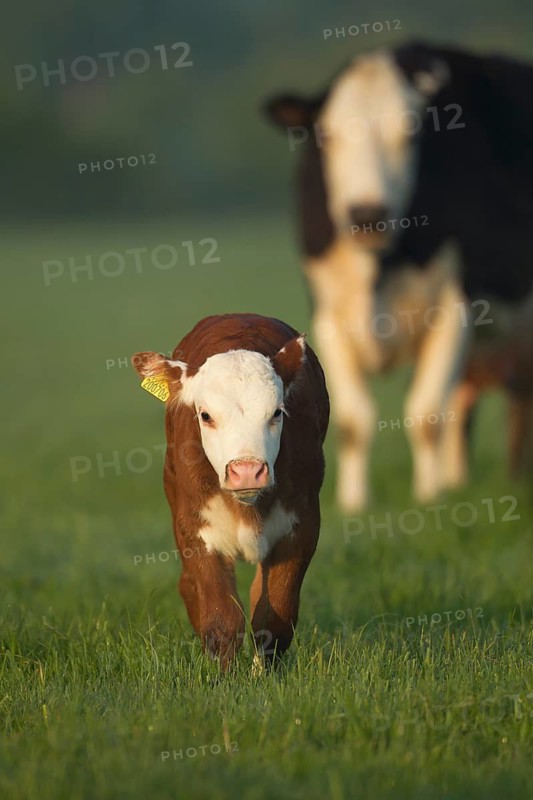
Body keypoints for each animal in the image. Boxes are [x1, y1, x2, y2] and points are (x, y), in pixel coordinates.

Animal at [132, 313, 329, 668]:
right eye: (206, 415)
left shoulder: (302, 525)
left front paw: (264, 673)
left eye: (277, 412)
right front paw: (224, 676)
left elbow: (273, 616)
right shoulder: (196, 529)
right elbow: (221, 616)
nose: (247, 470)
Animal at [265, 40, 533, 511]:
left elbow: (426, 414)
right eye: (328, 136)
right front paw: (354, 504)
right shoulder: (329, 315)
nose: (366, 214)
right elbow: (353, 421)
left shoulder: (456, 307)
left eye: (409, 134)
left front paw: (429, 499)